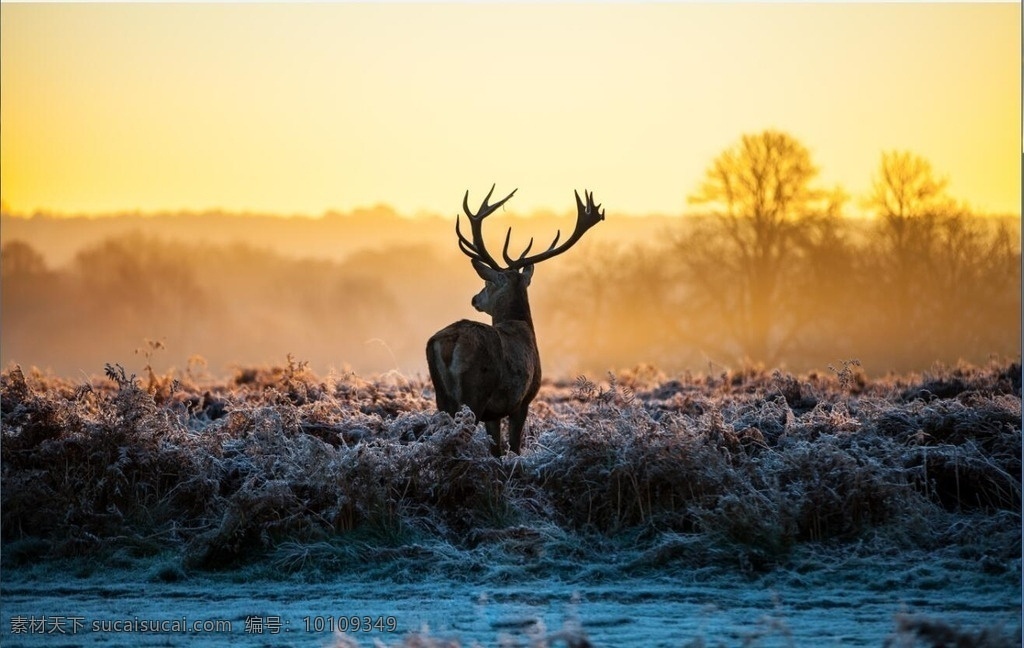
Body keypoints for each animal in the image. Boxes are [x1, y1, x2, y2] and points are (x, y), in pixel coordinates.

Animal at [425, 183, 602, 454]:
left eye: (487, 283)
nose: (475, 299)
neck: (521, 325)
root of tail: (449, 341)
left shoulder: (494, 413)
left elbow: (496, 450)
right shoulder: (522, 400)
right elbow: (515, 447)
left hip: (441, 396)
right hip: (474, 392)